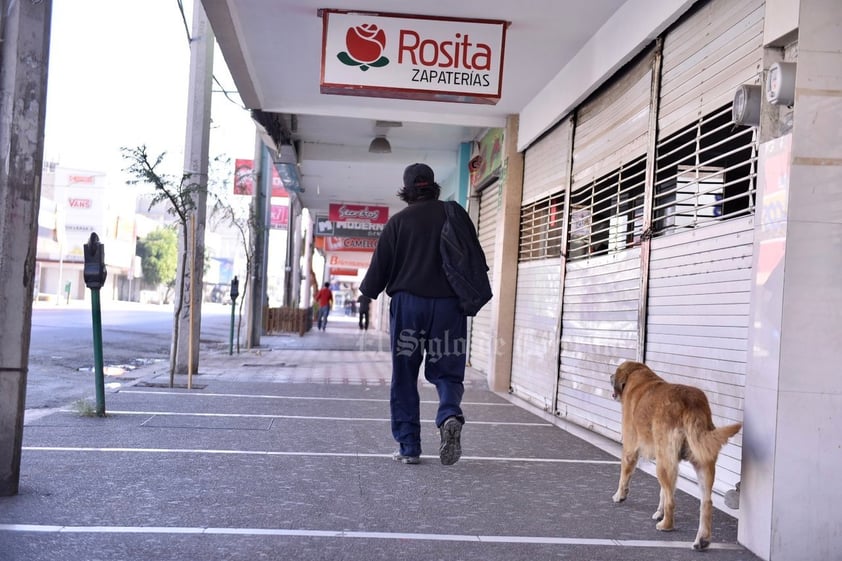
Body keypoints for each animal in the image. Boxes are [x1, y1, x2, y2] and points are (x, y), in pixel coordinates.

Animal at [608, 360, 740, 548]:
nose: (610, 376)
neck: (639, 377)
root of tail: (690, 402)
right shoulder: (668, 460)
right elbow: (663, 491)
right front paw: (659, 512)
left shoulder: (630, 450)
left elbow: (624, 476)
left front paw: (619, 496)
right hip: (701, 462)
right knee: (706, 502)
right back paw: (702, 539)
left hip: (665, 464)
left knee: (672, 501)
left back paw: (666, 525)